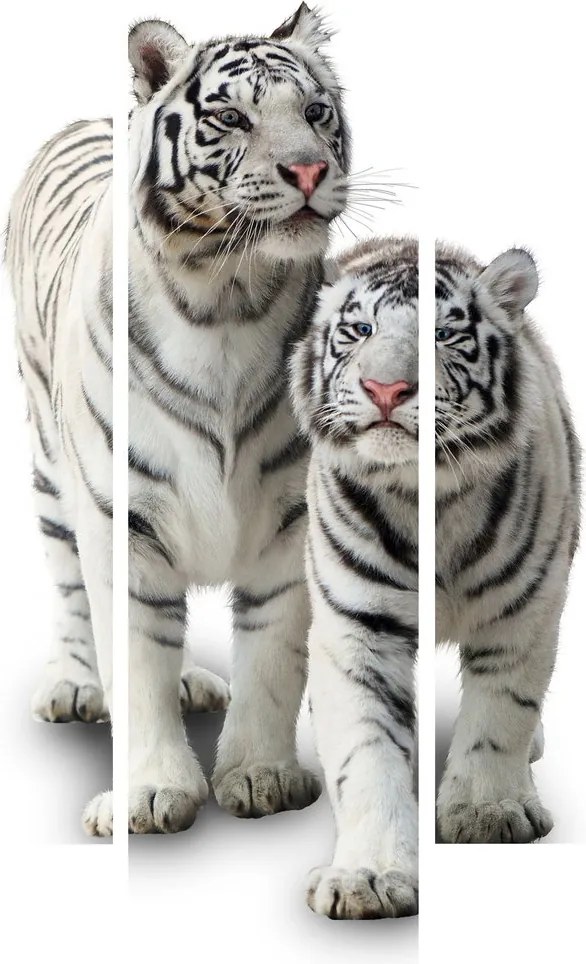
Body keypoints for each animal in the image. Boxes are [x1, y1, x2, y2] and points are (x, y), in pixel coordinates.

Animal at [122, 5, 350, 835]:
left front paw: (260, 776)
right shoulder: (127, 517)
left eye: (315, 113)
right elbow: (136, 659)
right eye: (230, 118)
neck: (228, 292)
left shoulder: (290, 522)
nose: (309, 171)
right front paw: (154, 791)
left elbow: (275, 656)